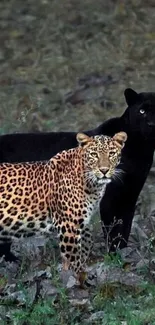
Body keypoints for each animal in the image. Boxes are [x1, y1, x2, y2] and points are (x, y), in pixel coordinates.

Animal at [0, 130, 126, 278]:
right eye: (94, 154)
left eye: (111, 153)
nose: (104, 170)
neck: (92, 185)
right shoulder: (68, 225)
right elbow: (74, 258)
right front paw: (80, 278)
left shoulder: (82, 221)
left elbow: (86, 244)